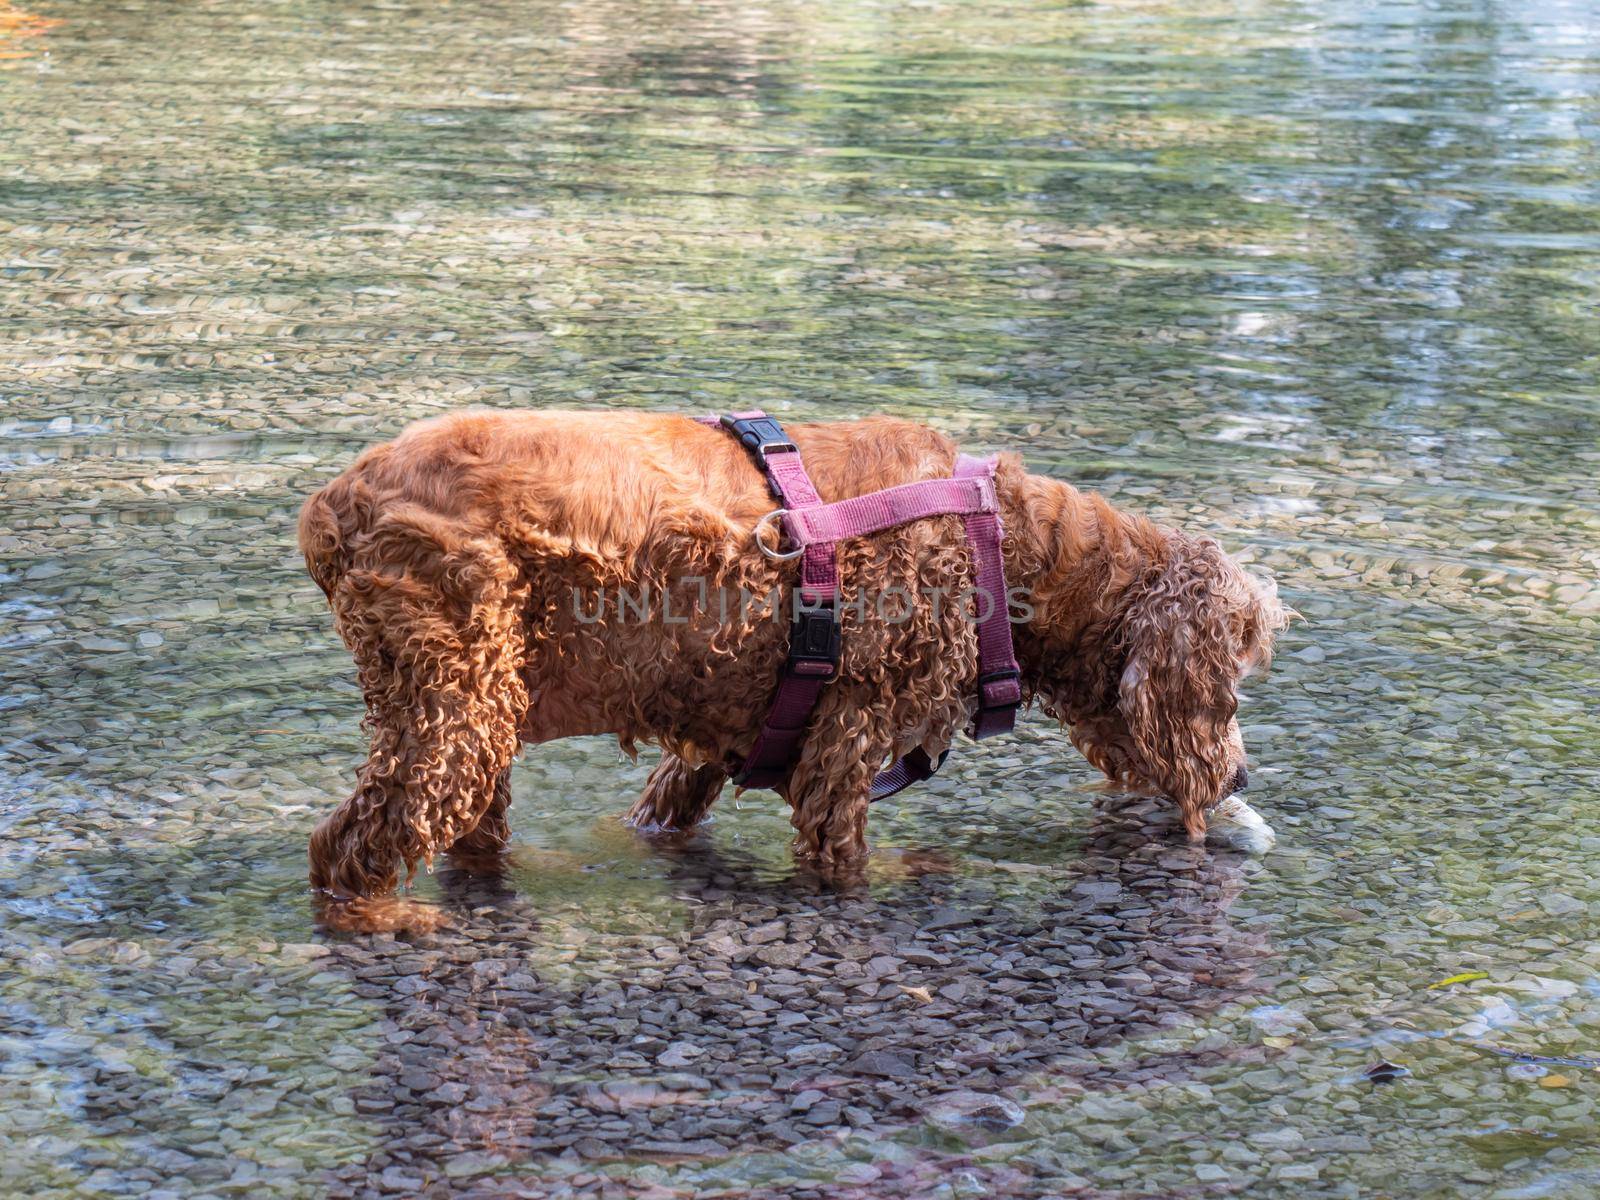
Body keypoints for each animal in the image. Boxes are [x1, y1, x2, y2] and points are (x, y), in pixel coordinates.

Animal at [300, 409, 1292, 896]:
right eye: (1231, 688)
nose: (1243, 780)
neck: (1002, 546)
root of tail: (335, 504)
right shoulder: (843, 752)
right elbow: (842, 857)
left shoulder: (722, 741)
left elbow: (666, 808)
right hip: (452, 721)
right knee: (347, 851)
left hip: (481, 717)